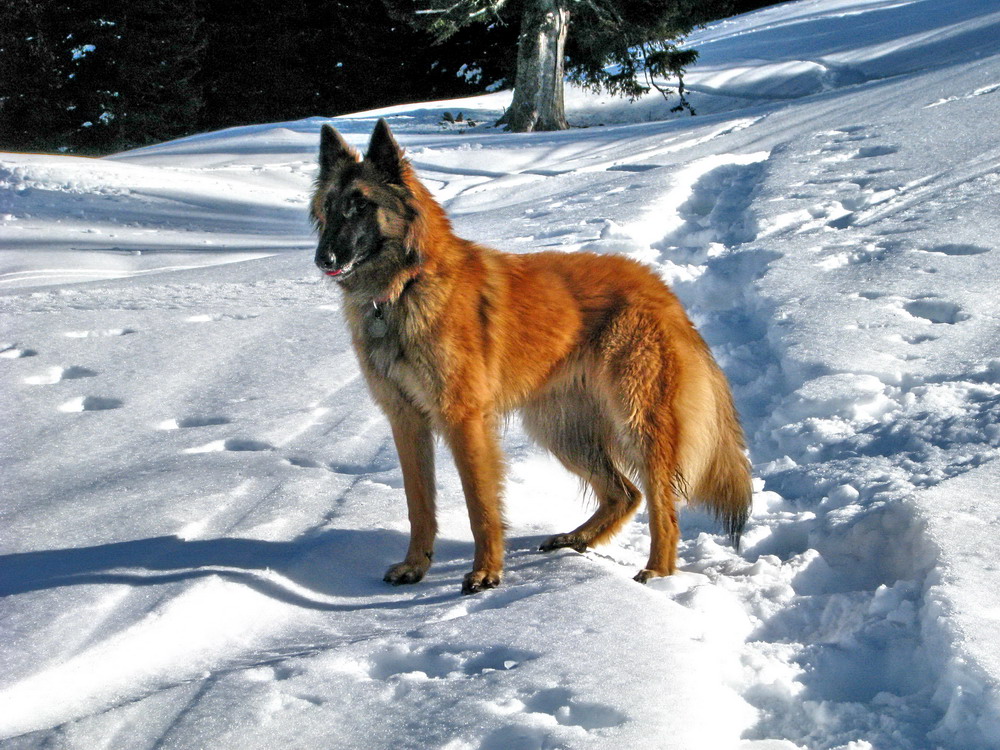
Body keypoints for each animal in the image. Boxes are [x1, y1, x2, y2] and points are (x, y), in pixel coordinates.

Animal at [312, 120, 752, 596]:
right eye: (329, 208)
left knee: (662, 505)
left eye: (361, 206)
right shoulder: (406, 420)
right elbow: (419, 504)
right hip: (560, 429)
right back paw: (576, 539)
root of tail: (662, 290)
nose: (322, 258)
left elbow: (480, 506)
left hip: (637, 419)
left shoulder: (464, 420)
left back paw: (657, 574)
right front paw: (415, 566)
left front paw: (486, 572)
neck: (405, 285)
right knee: (624, 493)